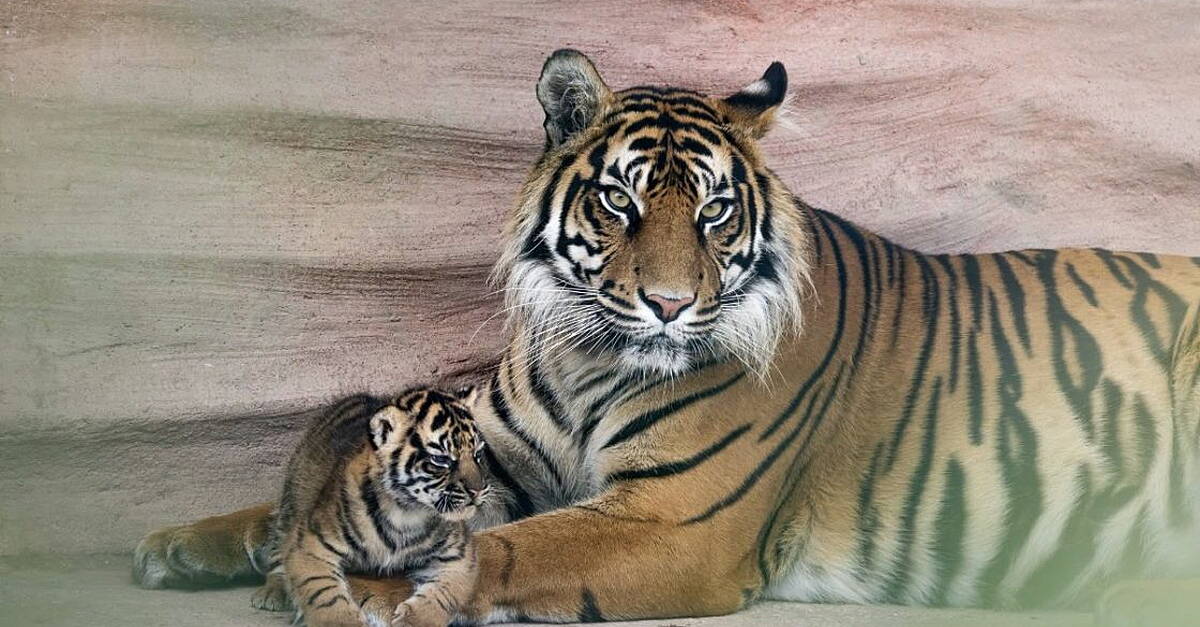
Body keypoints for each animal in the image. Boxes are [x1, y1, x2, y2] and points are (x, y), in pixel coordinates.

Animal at [249, 387, 489, 627]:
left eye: (478, 454)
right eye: (441, 460)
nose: (478, 490)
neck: (407, 512)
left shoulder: (459, 554)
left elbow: (442, 595)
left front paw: (415, 620)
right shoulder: (312, 543)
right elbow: (325, 593)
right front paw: (342, 621)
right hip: (293, 499)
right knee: (279, 549)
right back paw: (272, 592)